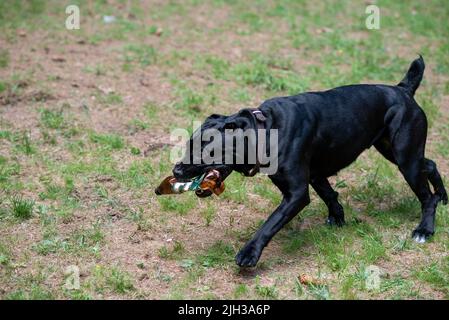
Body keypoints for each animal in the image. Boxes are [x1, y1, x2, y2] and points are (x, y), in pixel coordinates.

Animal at [170, 56, 446, 266]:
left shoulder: (296, 194)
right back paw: (443, 197)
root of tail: (403, 90)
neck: (266, 129)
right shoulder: (314, 175)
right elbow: (331, 196)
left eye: (206, 150)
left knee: (426, 197)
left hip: (405, 160)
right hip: (395, 152)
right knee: (430, 165)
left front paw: (249, 253)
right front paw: (338, 220)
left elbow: (269, 224)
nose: (176, 170)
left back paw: (425, 230)